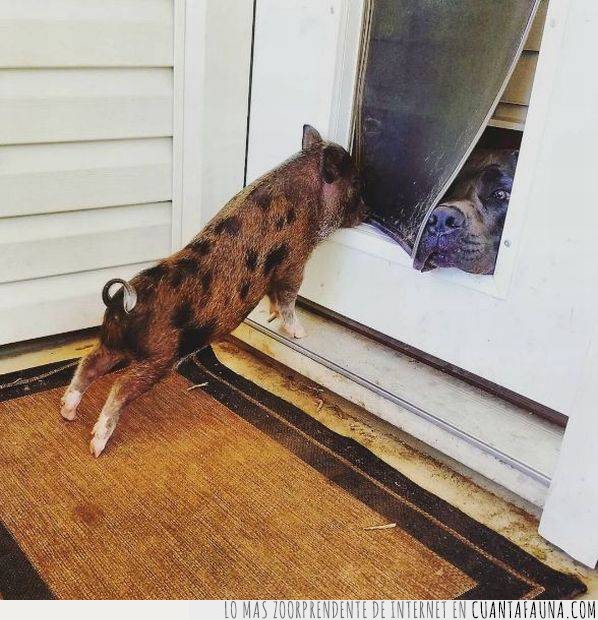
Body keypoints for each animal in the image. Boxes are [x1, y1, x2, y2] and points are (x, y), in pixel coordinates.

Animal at [60, 125, 367, 457]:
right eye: (355, 183)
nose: (369, 211)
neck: (309, 194)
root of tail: (126, 305)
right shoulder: (294, 259)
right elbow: (288, 296)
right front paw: (300, 333)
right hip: (158, 358)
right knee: (119, 387)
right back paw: (96, 446)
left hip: (112, 342)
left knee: (88, 363)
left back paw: (67, 413)